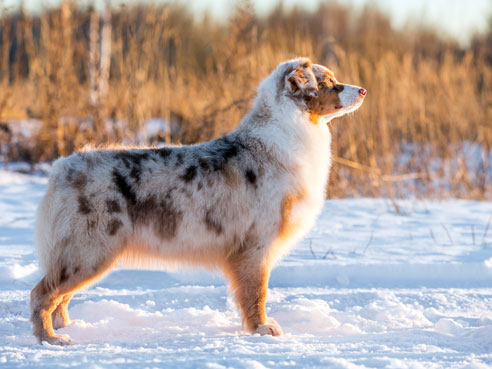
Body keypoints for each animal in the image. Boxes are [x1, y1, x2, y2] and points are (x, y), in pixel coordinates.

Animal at [30, 56, 366, 342]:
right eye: (329, 81)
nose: (363, 90)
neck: (289, 131)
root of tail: (63, 166)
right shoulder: (256, 245)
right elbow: (256, 293)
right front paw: (262, 329)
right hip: (88, 252)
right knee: (42, 294)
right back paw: (51, 338)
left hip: (86, 254)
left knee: (59, 297)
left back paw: (67, 327)